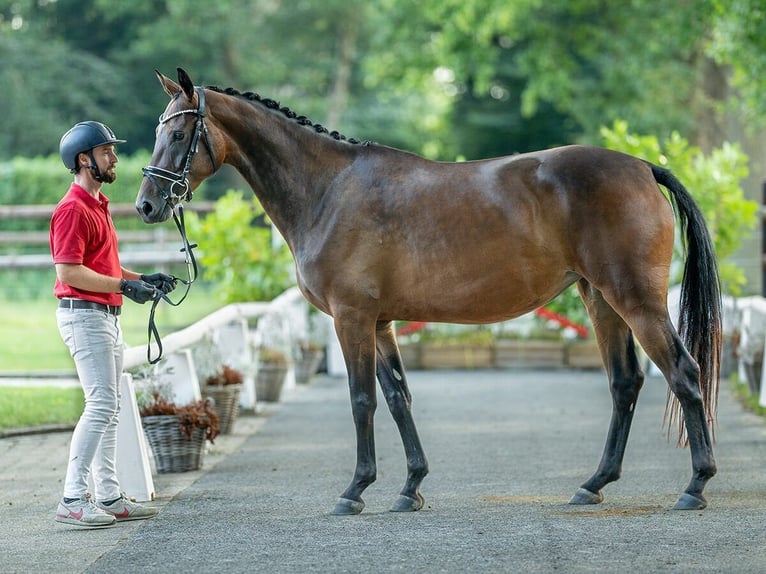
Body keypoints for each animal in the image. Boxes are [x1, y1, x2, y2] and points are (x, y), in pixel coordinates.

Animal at [136, 70, 720, 516]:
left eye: (181, 133)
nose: (146, 205)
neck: (327, 190)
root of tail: (641, 166)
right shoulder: (380, 323)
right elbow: (398, 398)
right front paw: (410, 487)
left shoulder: (351, 318)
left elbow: (362, 400)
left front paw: (355, 491)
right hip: (600, 299)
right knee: (625, 383)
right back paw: (593, 484)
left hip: (636, 301)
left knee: (682, 372)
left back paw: (695, 485)